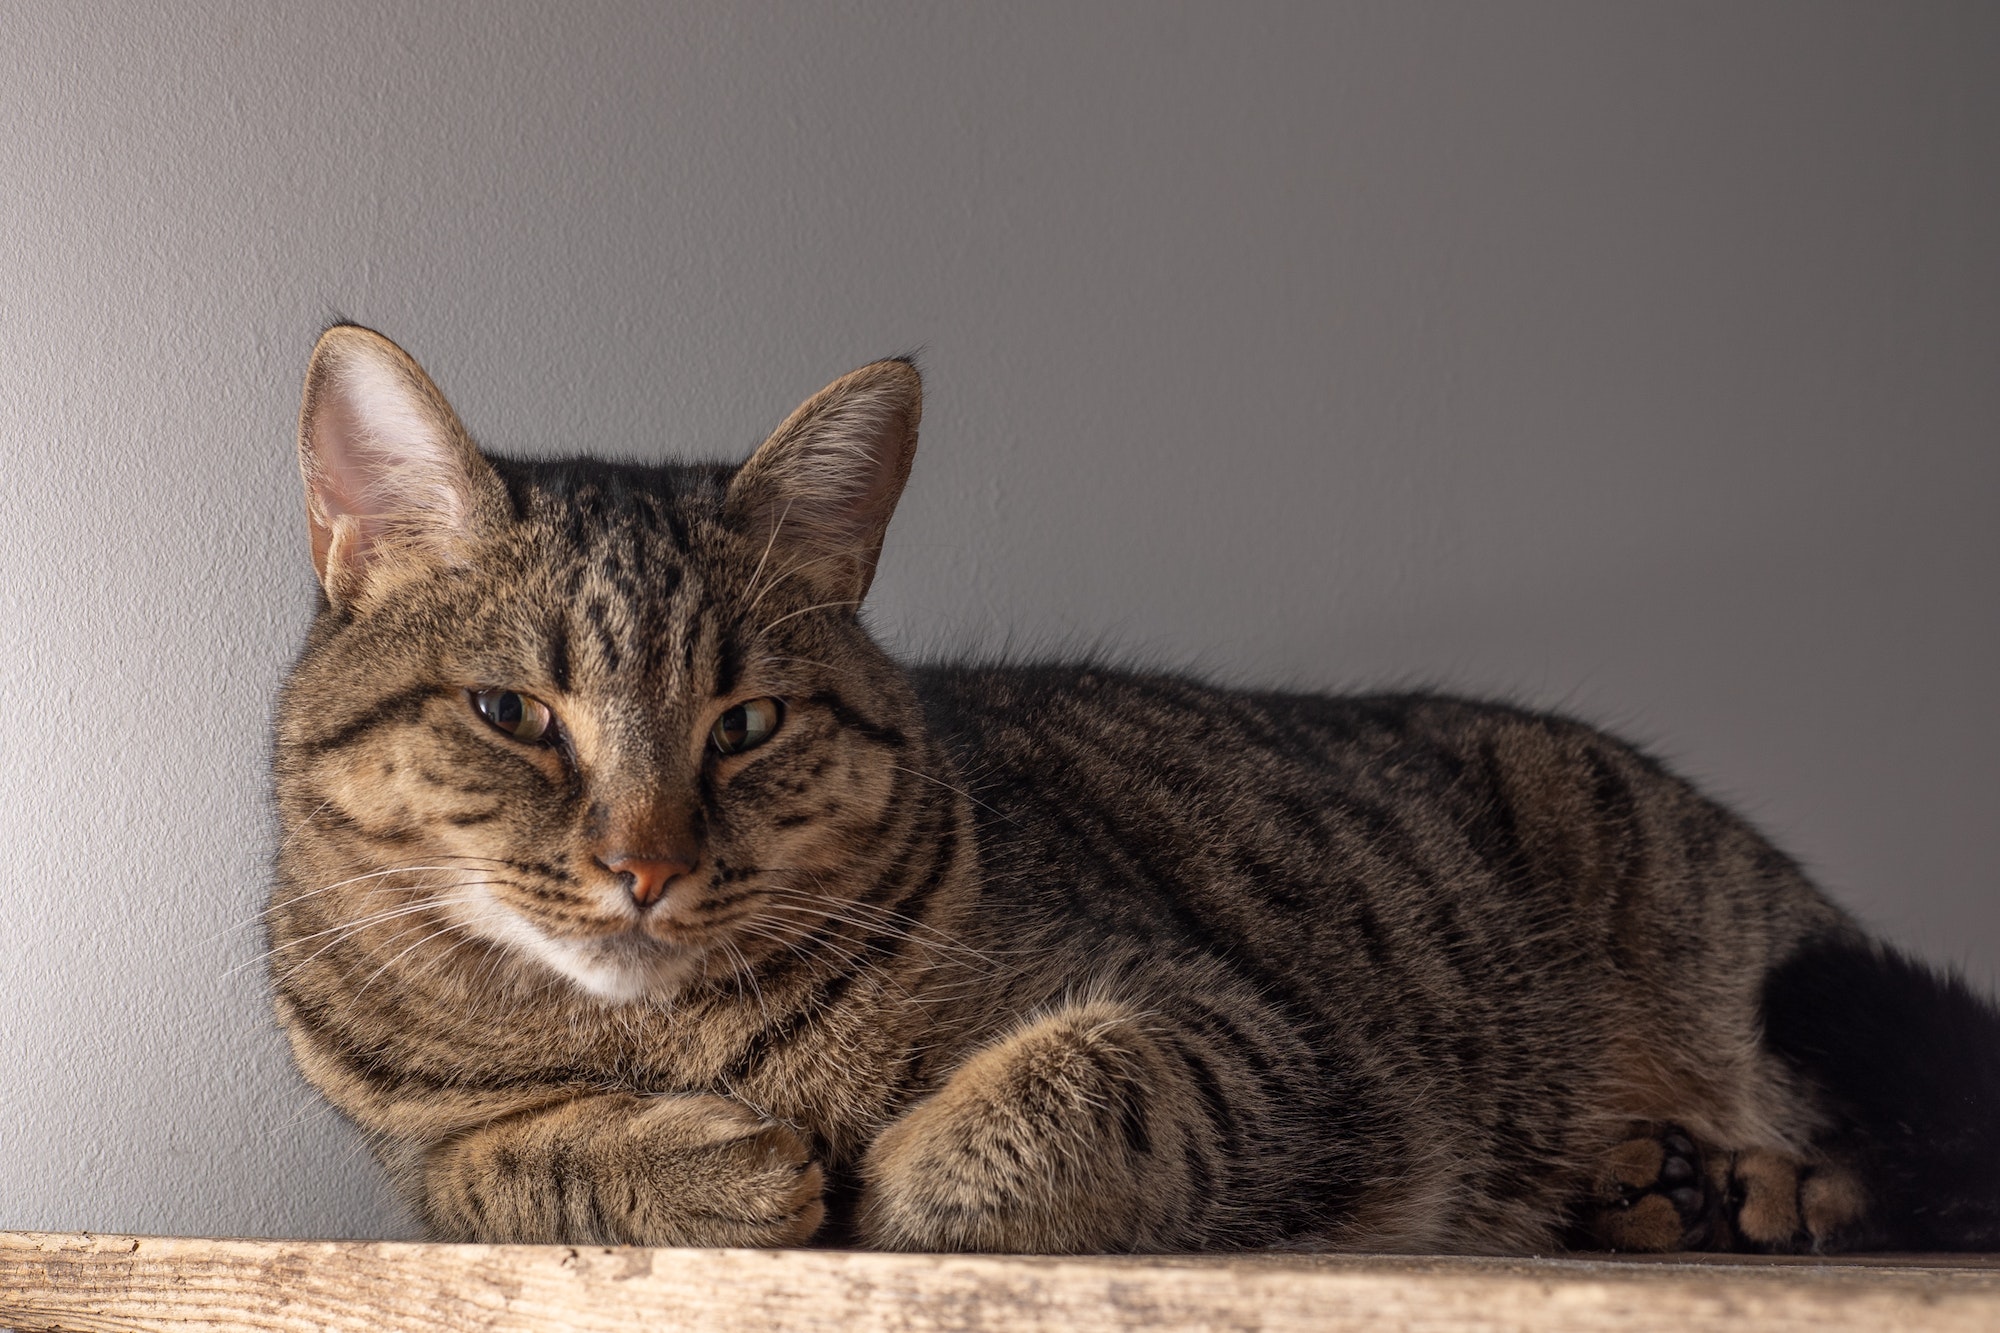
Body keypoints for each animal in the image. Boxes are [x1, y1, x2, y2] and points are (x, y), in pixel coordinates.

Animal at [270, 322, 2000, 1248]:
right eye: (513, 713)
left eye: (745, 723)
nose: (647, 865)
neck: (672, 1032)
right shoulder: (411, 1147)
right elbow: (506, 1167)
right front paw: (704, 1166)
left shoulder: (1245, 1032)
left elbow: (1056, 1093)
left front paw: (890, 1178)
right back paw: (1667, 1194)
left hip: (1754, 979)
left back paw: (1739, 1195)